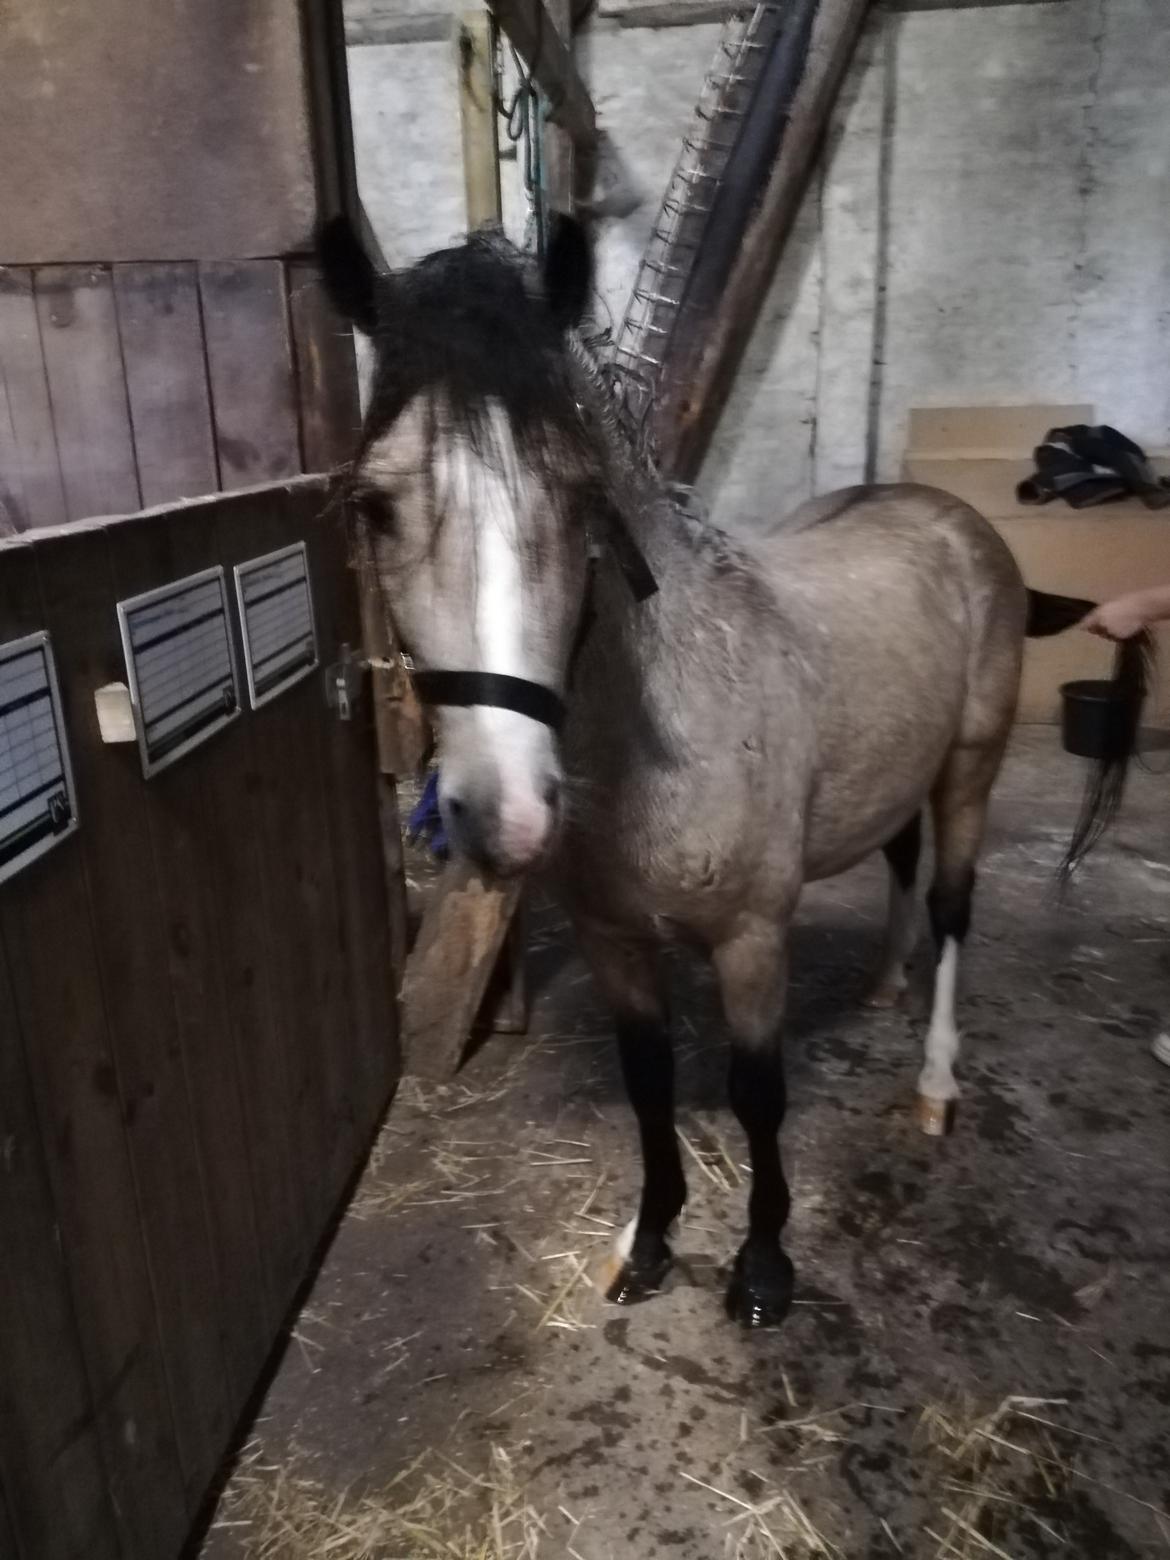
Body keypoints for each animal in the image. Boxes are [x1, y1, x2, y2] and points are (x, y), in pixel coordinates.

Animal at [321, 215, 1148, 1329]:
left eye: (581, 494)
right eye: (375, 505)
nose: (507, 814)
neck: (663, 730)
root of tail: (949, 516)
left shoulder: (754, 938)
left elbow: (760, 1095)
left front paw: (762, 1269)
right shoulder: (617, 940)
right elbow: (649, 1081)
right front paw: (651, 1243)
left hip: (969, 770)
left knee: (952, 907)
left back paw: (936, 1084)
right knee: (900, 862)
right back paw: (884, 983)